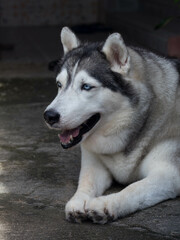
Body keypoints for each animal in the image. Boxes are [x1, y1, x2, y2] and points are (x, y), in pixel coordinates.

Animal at [44, 27, 180, 224]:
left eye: (86, 86)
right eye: (59, 85)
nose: (49, 116)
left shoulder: (168, 174)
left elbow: (134, 188)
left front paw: (107, 203)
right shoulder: (94, 165)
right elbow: (85, 183)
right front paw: (78, 201)